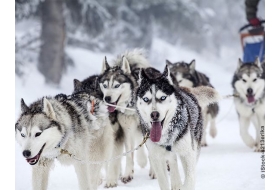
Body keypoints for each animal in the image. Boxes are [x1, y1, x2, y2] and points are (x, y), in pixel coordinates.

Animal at [98, 49, 151, 184]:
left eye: (117, 85)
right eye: (105, 85)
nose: (107, 98)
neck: (132, 105)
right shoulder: (127, 131)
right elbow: (129, 154)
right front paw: (128, 174)